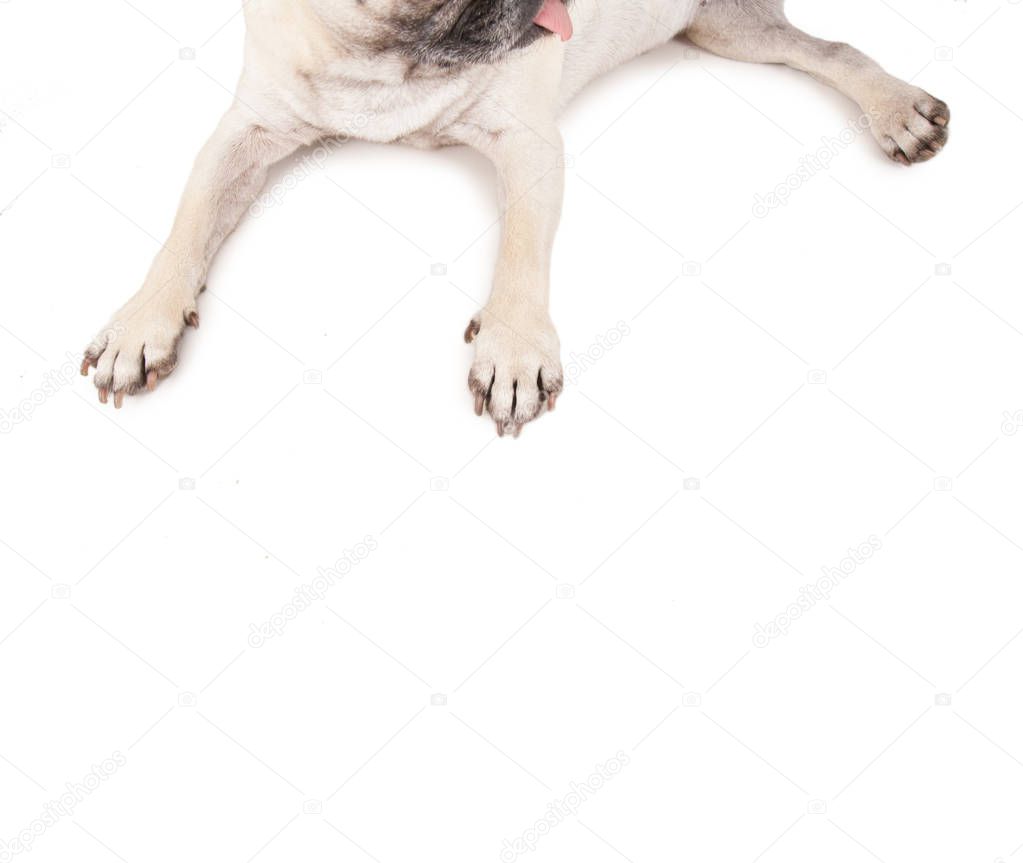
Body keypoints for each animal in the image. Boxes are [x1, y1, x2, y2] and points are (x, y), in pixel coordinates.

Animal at [81, 0, 949, 435]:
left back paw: (896, 109)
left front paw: (513, 348)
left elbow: (524, 253)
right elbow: (185, 226)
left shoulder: (529, 144)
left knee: (832, 52)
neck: (386, 62)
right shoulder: (246, 130)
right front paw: (143, 321)